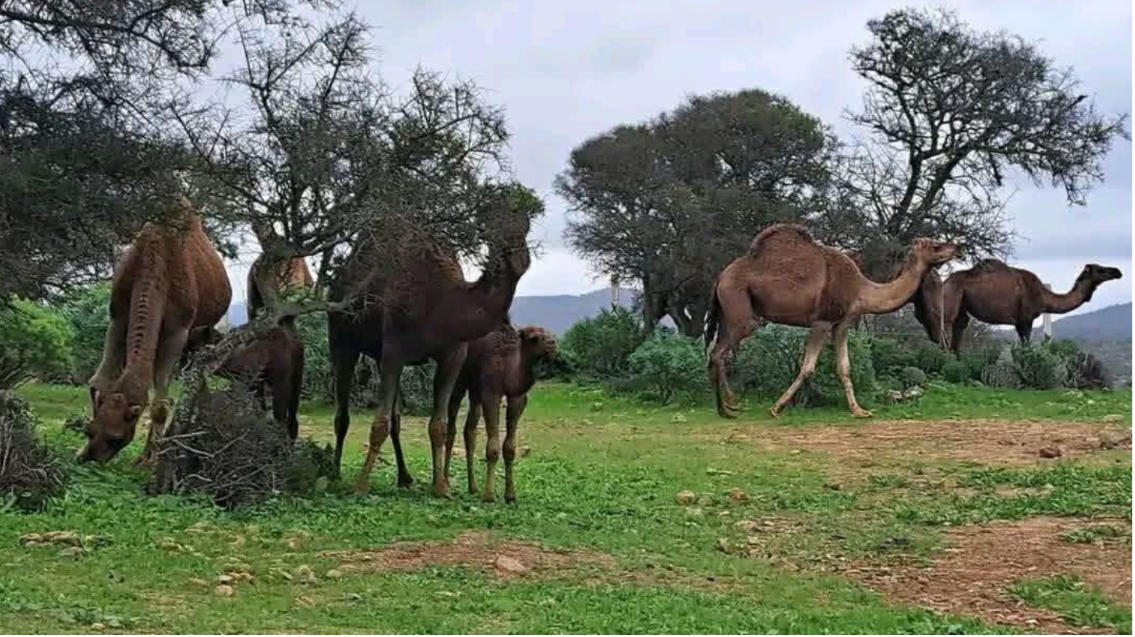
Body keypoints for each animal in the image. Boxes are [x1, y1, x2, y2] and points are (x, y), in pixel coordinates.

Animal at [82, 198, 232, 463]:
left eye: (116, 438)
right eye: (88, 431)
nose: (91, 459)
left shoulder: (177, 331)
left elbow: (160, 405)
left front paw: (148, 461)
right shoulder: (118, 315)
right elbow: (100, 381)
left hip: (200, 334)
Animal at [328, 211, 532, 496]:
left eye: (526, 226)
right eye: (497, 226)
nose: (520, 259)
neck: (445, 301)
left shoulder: (453, 356)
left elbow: (438, 425)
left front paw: (441, 486)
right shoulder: (394, 351)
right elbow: (379, 424)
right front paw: (361, 484)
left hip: (376, 355)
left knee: (396, 418)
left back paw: (404, 477)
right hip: (341, 340)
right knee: (343, 415)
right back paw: (335, 474)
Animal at [442, 321, 556, 503]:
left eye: (545, 332)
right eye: (533, 338)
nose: (552, 343)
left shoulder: (517, 397)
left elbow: (510, 447)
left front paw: (510, 495)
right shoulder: (491, 393)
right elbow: (493, 448)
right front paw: (488, 495)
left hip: (475, 391)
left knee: (469, 431)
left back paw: (473, 487)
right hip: (459, 381)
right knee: (451, 428)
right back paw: (446, 481)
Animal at [706, 224, 959, 419]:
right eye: (936, 246)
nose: (958, 247)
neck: (861, 291)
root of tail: (720, 277)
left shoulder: (842, 324)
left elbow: (844, 367)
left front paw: (859, 411)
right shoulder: (823, 321)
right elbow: (808, 367)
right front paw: (776, 408)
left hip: (728, 313)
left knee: (716, 351)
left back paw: (730, 405)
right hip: (741, 310)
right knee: (718, 353)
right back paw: (725, 409)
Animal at [941, 260, 1122, 354]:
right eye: (1100, 270)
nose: (1118, 272)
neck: (1044, 296)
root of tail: (946, 281)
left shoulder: (1019, 322)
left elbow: (1023, 344)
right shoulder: (1026, 318)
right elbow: (1026, 345)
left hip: (962, 302)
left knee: (960, 324)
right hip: (952, 295)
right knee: (947, 323)